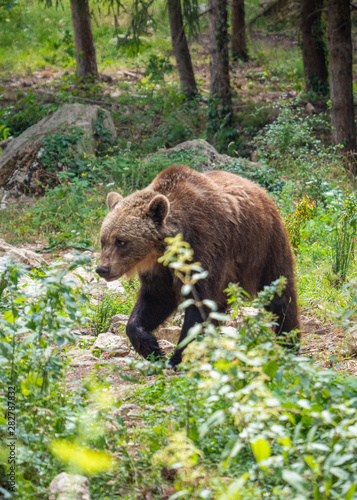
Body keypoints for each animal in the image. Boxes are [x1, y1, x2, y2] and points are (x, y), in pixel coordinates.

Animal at [96, 164, 298, 368]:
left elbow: (199, 301)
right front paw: (152, 347)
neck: (164, 250)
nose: (102, 269)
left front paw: (178, 357)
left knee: (281, 295)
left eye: (121, 241)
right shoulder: (159, 271)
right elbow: (154, 300)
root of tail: (259, 189)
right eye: (103, 240)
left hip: (264, 247)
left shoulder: (204, 246)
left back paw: (289, 343)